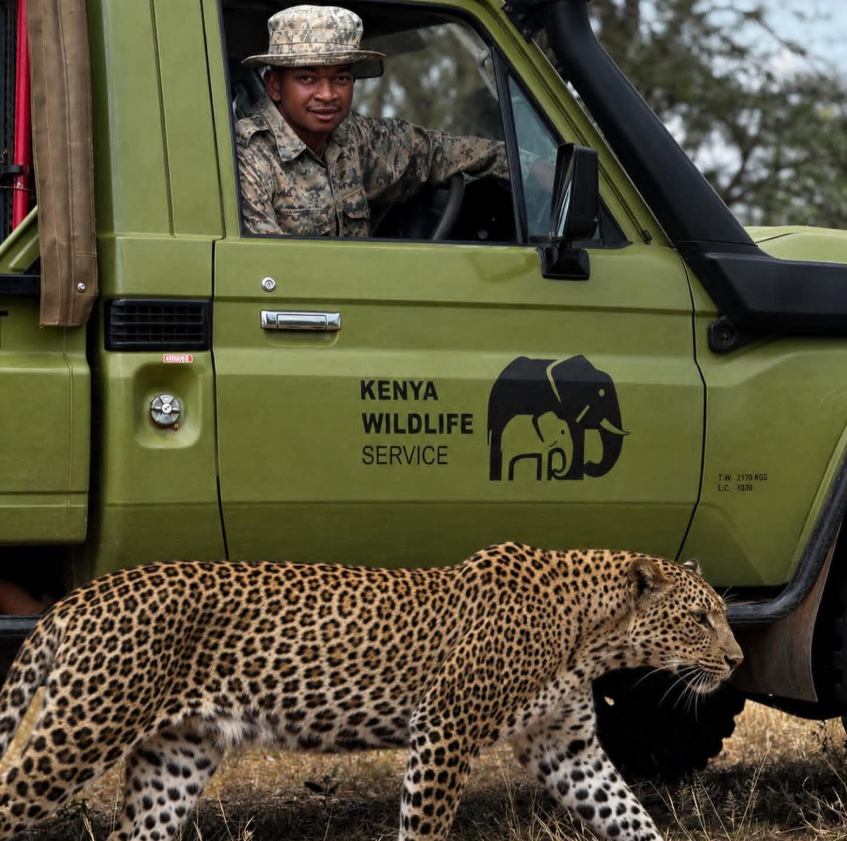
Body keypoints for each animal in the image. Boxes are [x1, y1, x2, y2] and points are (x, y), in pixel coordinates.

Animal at [0, 542, 742, 841]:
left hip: (174, 755)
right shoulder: (444, 729)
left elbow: (630, 816)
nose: (737, 659)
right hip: (82, 730)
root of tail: (80, 596)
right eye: (701, 616)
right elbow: (424, 826)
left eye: (720, 614)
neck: (591, 635)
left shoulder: (567, 747)